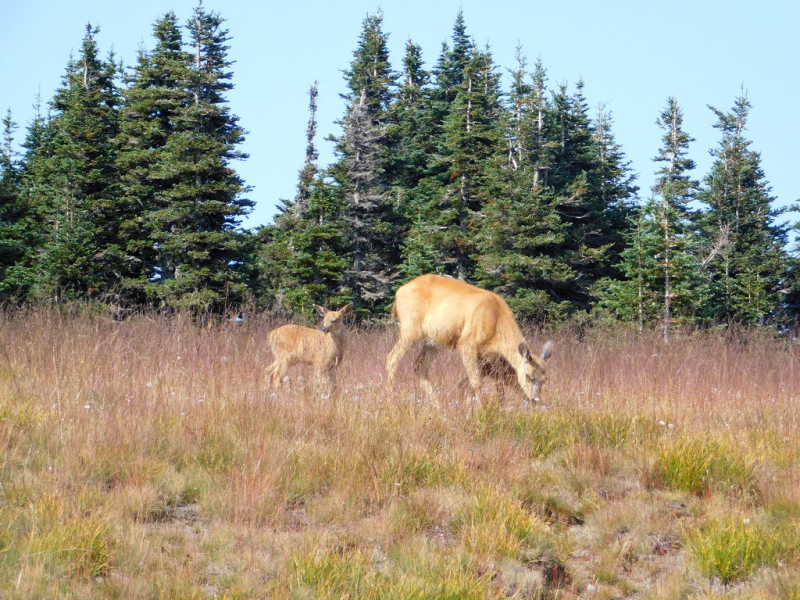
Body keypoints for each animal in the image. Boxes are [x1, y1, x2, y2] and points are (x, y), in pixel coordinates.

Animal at [386, 276, 552, 404]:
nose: (534, 400)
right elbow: (475, 382)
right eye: (528, 376)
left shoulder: (486, 356)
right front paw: (482, 409)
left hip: (433, 342)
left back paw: (438, 405)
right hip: (410, 328)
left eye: (544, 379)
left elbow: (472, 383)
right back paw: (391, 397)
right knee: (391, 358)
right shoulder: (467, 343)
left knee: (419, 367)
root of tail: (399, 292)